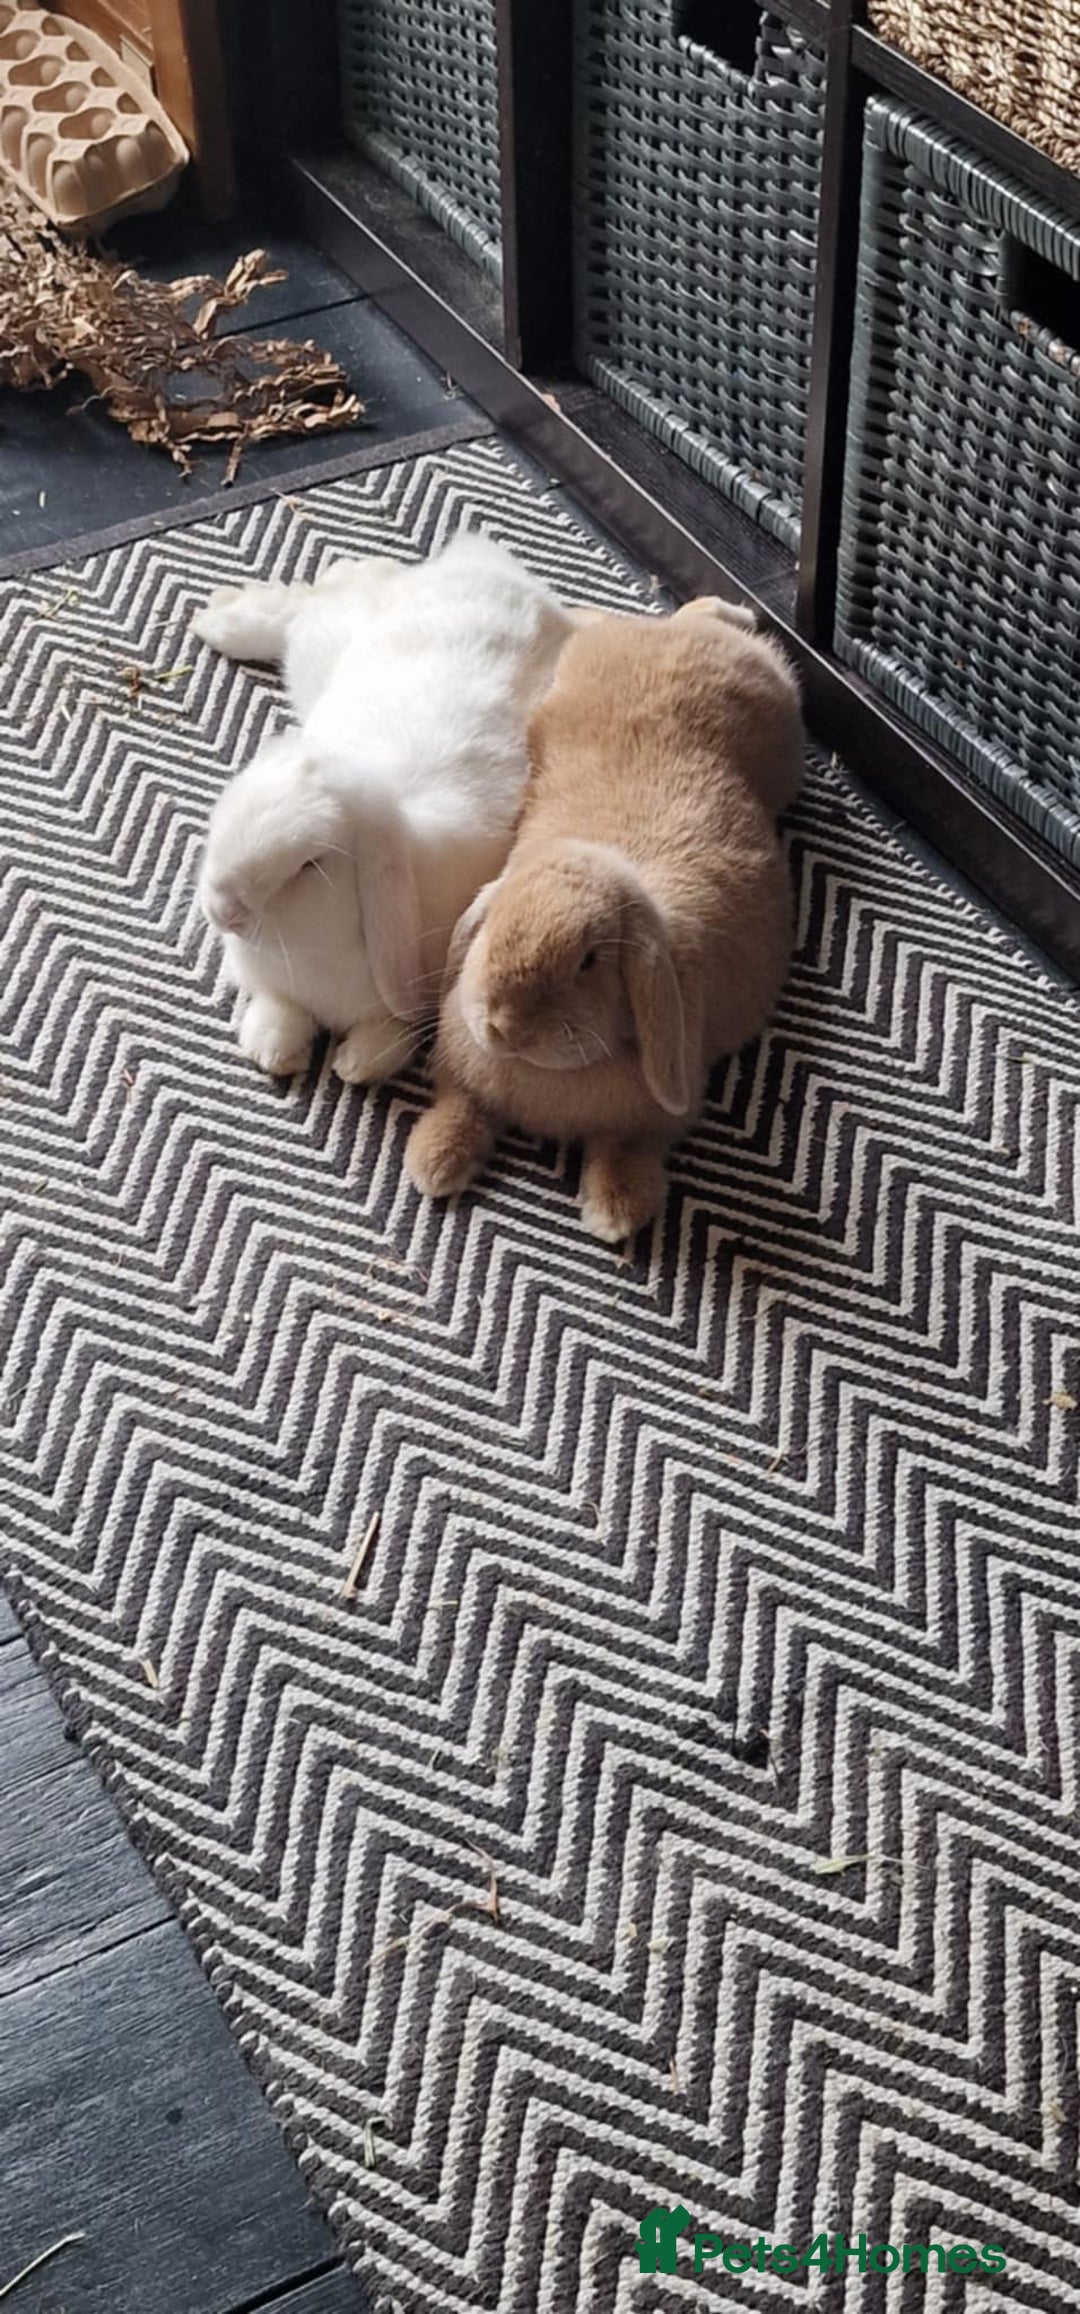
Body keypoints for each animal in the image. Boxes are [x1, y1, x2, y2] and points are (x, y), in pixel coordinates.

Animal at [193, 535, 588, 1083]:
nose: (223, 913)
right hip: (327, 641)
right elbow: (278, 1010)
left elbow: (386, 1036)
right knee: (323, 593)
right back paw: (220, 620)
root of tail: (488, 565)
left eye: (310, 865)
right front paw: (274, 1050)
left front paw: (352, 1063)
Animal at [405, 596, 804, 1242]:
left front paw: (616, 1213)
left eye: (589, 961)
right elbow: (458, 1108)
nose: (504, 1027)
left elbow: (627, 1150)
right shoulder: (462, 1079)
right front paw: (434, 1164)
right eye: (490, 931)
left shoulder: (651, 1122)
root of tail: (677, 633)